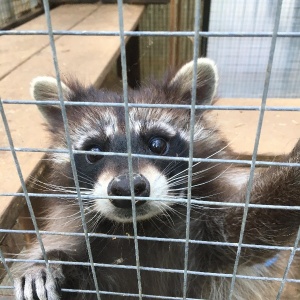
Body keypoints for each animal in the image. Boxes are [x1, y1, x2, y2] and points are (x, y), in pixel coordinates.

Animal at [12, 57, 300, 298]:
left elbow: (250, 233)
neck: (141, 228)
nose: (127, 188)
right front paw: (49, 263)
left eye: (157, 144)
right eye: (94, 151)